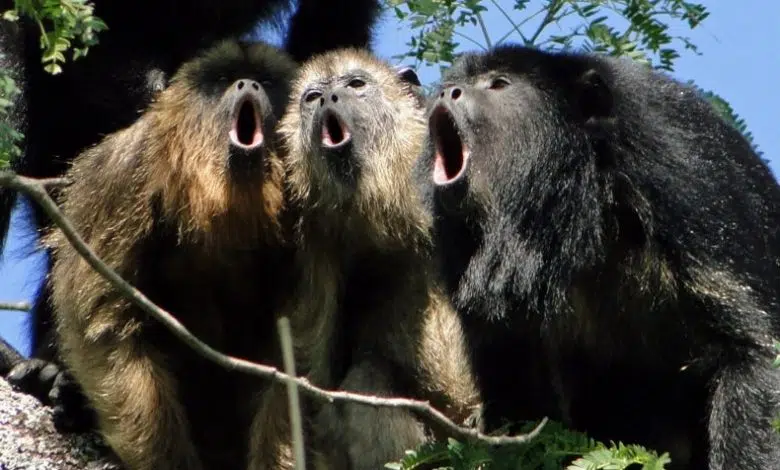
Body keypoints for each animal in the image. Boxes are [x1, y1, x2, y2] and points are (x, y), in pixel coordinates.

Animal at [251, 48, 481, 470]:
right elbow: (308, 369)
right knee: (368, 378)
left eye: (355, 84)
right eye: (312, 97)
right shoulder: (315, 242)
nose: (327, 99)